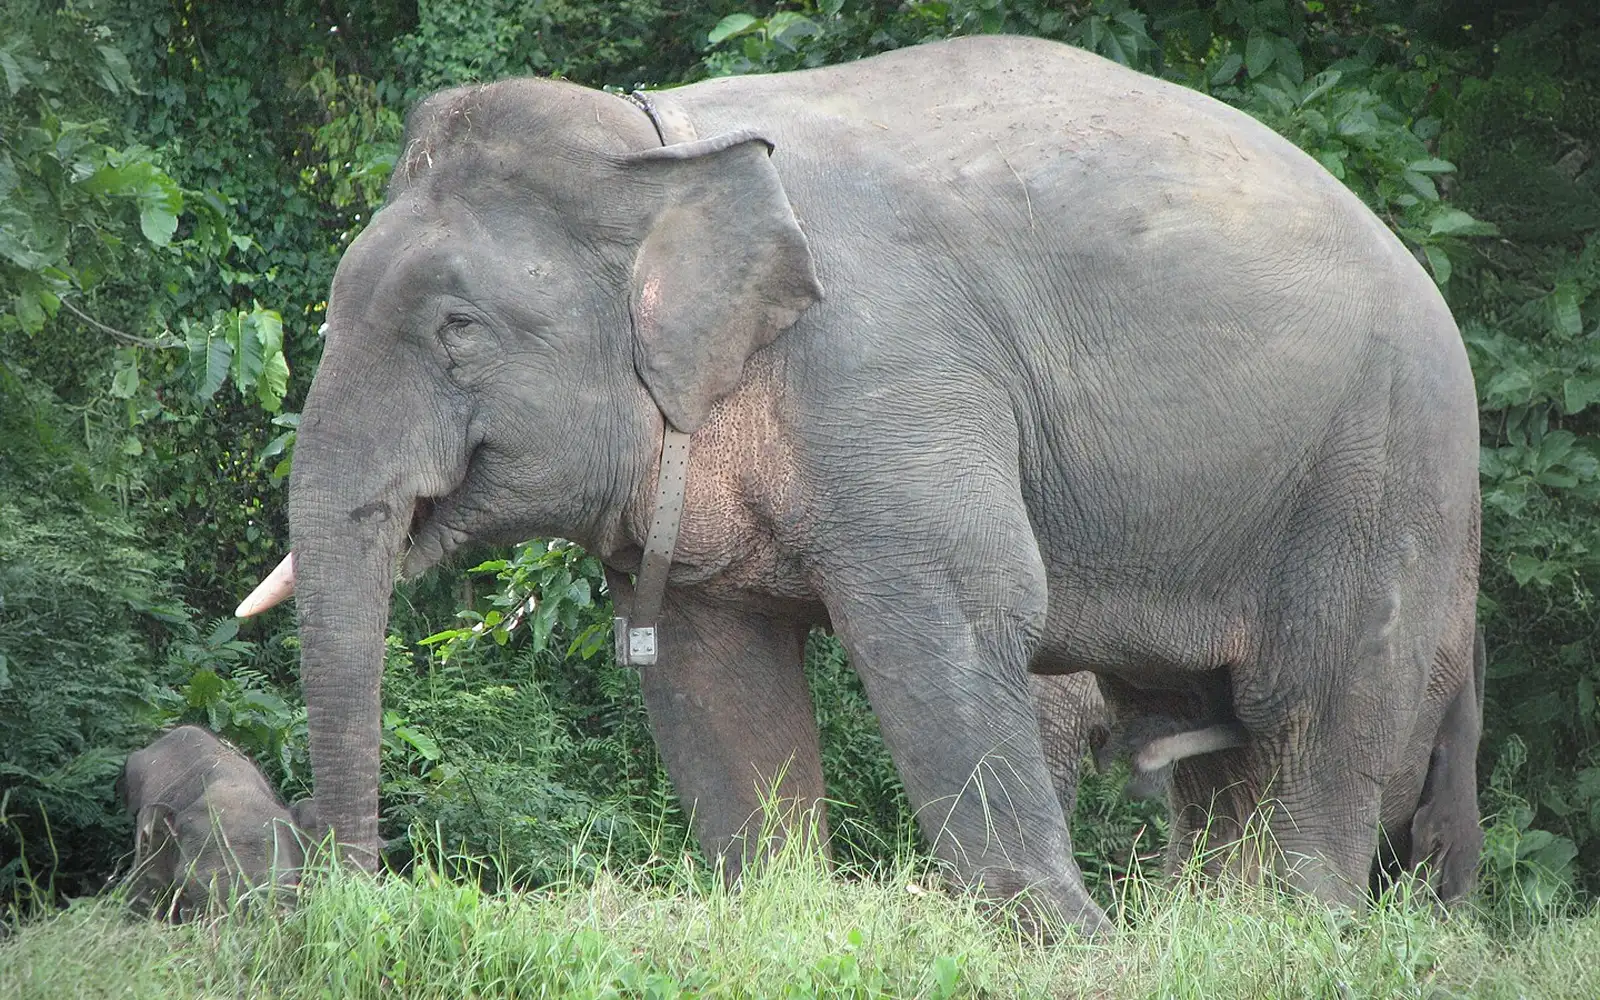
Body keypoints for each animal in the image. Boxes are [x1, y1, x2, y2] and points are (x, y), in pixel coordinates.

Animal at [236, 34, 1483, 934]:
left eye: (457, 330)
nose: (351, 895)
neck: (663, 146)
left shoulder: (893, 374)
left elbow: (955, 607)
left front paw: (1069, 943)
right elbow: (710, 666)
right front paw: (785, 909)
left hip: (1384, 470)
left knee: (1315, 709)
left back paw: (1295, 933)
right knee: (1222, 748)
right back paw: (1220, 931)